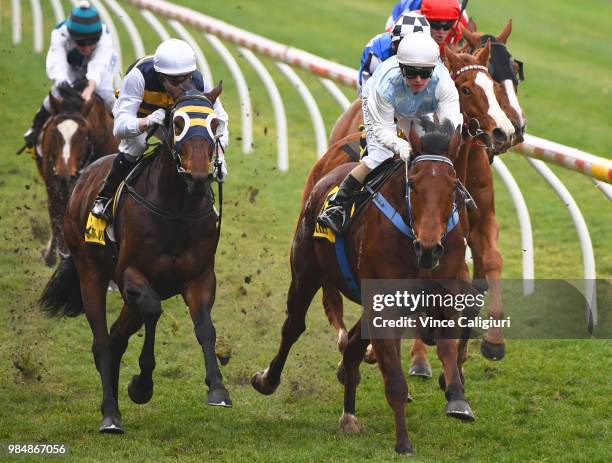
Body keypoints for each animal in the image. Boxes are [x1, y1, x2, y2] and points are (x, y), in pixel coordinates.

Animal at [37, 81, 118, 266]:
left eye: (83, 136)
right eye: (54, 133)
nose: (64, 176)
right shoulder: (53, 185)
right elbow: (56, 215)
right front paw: (58, 254)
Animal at [251, 119, 476, 456]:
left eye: (452, 187)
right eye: (413, 185)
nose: (429, 248)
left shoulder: (446, 291)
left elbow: (449, 343)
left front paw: (457, 398)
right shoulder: (385, 304)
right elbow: (394, 379)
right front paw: (403, 442)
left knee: (354, 343)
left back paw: (349, 413)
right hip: (306, 271)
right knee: (293, 326)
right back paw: (268, 380)